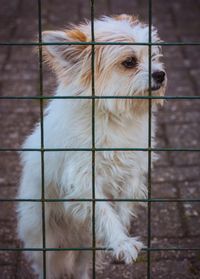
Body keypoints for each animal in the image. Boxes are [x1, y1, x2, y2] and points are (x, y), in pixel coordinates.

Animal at [17, 13, 167, 279]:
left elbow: (122, 206)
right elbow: (104, 211)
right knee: (47, 267)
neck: (114, 117)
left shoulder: (133, 170)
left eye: (153, 56)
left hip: (85, 247)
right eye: (129, 62)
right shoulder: (83, 180)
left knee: (80, 265)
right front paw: (121, 241)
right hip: (45, 243)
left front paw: (121, 231)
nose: (160, 74)